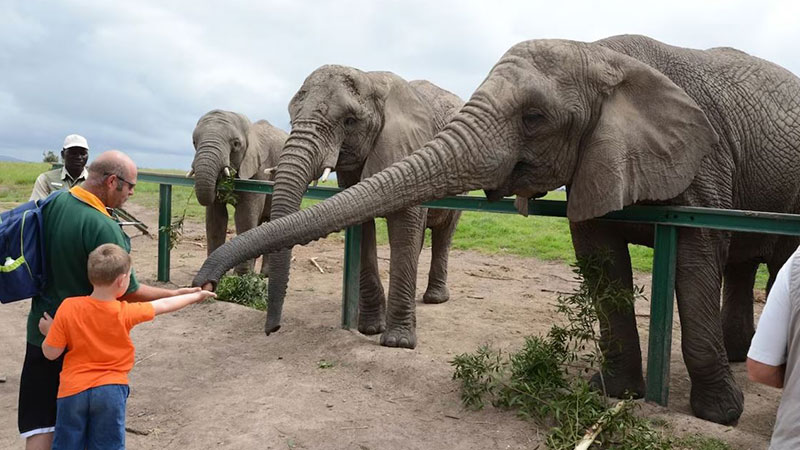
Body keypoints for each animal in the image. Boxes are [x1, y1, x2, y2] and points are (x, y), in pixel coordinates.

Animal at [190, 109, 287, 275]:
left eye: (236, 144)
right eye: (194, 142)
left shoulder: (259, 169)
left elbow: (245, 215)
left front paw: (240, 277)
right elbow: (215, 217)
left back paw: (264, 275)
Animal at [265, 65, 463, 347]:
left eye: (349, 121)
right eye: (292, 118)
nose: (273, 329)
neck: (371, 78)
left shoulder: (406, 145)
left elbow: (405, 223)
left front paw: (398, 343)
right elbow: (361, 223)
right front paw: (370, 329)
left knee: (444, 233)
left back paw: (435, 298)